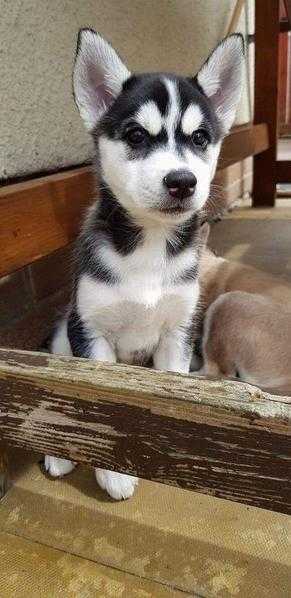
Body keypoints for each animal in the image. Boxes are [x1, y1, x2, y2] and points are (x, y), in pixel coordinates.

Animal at [44, 29, 244, 502]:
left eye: (200, 138)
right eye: (136, 135)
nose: (182, 181)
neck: (149, 247)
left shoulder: (177, 332)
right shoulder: (91, 333)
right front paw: (113, 473)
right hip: (64, 334)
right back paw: (58, 454)